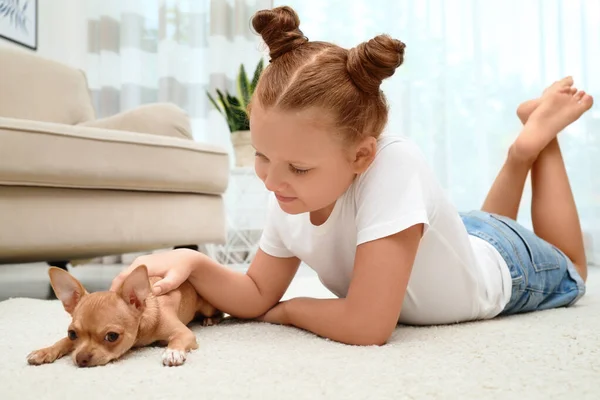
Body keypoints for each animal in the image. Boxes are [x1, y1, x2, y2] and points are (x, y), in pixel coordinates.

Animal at [26, 264, 223, 368]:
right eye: (72, 334)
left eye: (112, 336)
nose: (80, 358)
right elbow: (63, 342)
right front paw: (45, 351)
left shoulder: (184, 333)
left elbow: (177, 340)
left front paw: (172, 352)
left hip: (207, 306)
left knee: (216, 312)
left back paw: (210, 320)